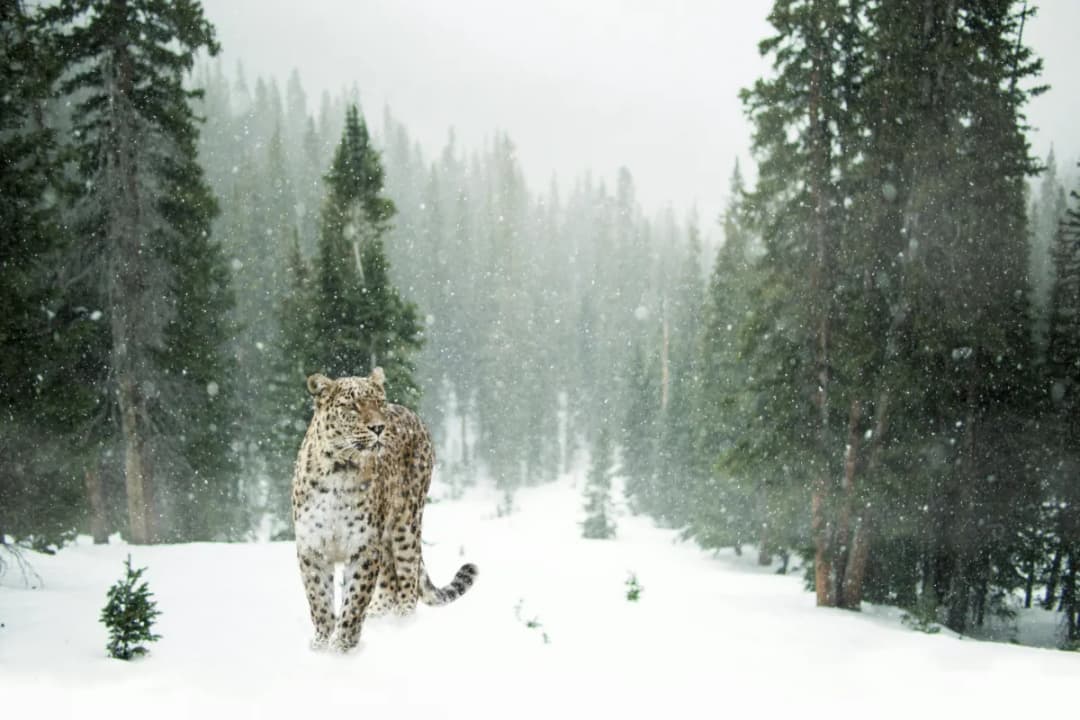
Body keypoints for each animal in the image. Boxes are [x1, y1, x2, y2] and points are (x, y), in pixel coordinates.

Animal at [291, 367, 477, 652]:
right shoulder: (312, 546)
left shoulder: (364, 546)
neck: (339, 471)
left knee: (408, 579)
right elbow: (319, 599)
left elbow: (355, 600)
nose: (379, 427)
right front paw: (321, 644)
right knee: (389, 581)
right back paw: (378, 616)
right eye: (352, 406)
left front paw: (343, 647)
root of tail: (412, 413)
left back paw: (402, 625)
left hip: (406, 524)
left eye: (378, 403)